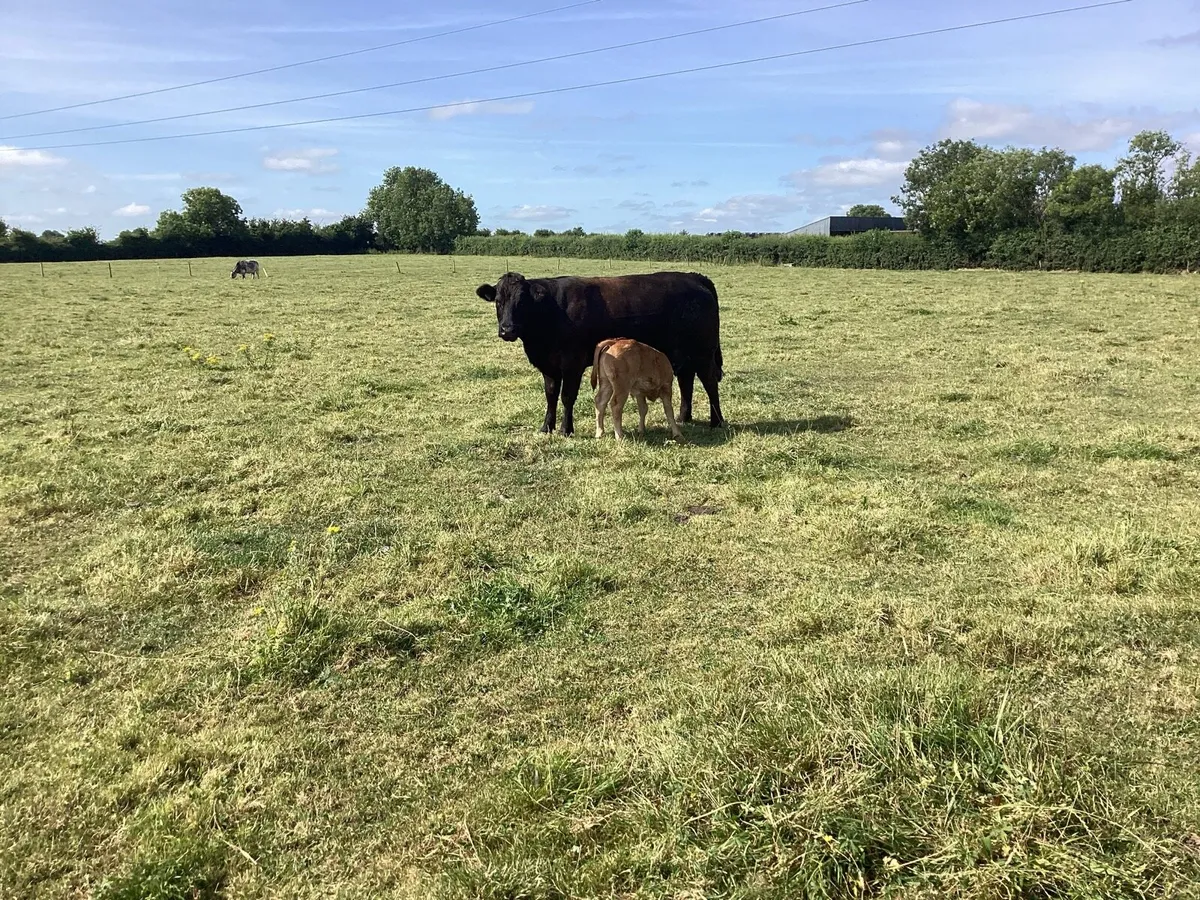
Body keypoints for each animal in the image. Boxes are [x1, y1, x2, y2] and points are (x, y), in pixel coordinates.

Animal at [475, 271, 725, 436]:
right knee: (686, 381)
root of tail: (694, 277)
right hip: (683, 355)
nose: (507, 329)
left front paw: (566, 430)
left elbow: (567, 397)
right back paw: (684, 418)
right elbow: (550, 395)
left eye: (522, 302)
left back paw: (717, 421)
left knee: (710, 383)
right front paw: (546, 427)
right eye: (498, 302)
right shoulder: (549, 366)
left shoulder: (572, 364)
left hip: (704, 353)